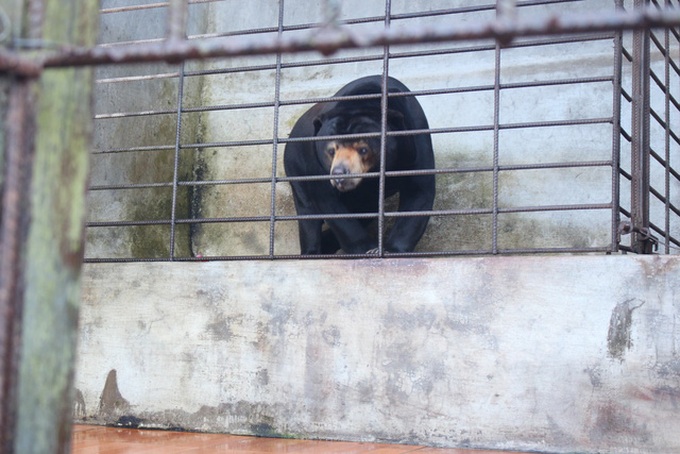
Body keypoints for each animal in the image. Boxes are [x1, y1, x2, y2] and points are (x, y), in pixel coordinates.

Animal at [282, 72, 436, 254]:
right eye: (331, 150)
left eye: (363, 149)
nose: (339, 174)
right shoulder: (315, 167)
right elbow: (327, 201)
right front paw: (366, 249)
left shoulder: (415, 142)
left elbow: (419, 191)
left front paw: (392, 250)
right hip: (295, 166)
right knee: (307, 215)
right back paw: (312, 251)